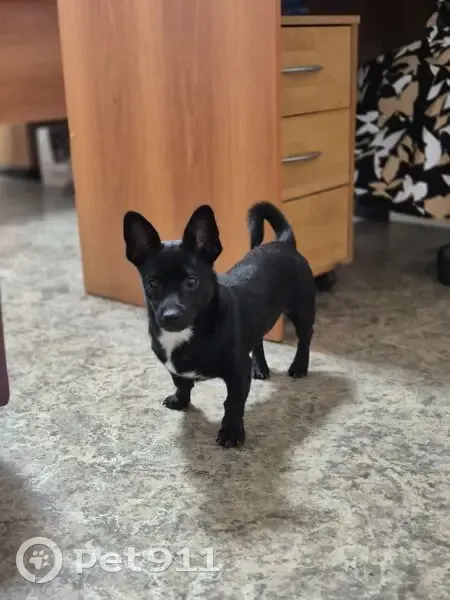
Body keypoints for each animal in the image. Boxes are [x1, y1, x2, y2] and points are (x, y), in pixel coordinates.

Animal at [123, 202, 315, 448]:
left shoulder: (237, 372)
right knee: (258, 340)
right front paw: (181, 401)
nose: (171, 315)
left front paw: (231, 432)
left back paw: (299, 366)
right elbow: (181, 383)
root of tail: (284, 242)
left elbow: (233, 403)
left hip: (301, 309)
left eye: (192, 282)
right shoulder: (174, 368)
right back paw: (260, 367)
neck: (191, 332)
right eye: (152, 284)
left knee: (305, 338)